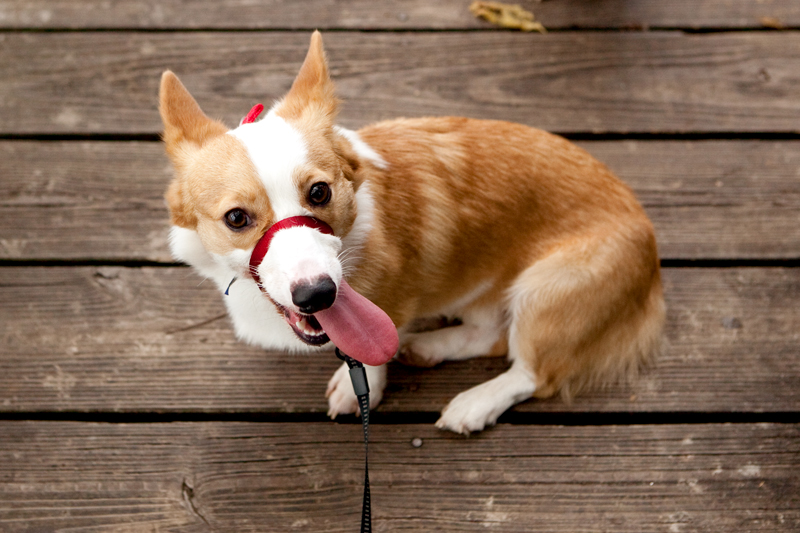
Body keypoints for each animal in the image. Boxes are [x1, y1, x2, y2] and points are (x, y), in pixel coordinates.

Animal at [159, 31, 664, 434]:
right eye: (236, 219)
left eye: (320, 191)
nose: (318, 295)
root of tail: (651, 244)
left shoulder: (391, 305)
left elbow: (372, 354)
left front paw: (358, 386)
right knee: (492, 334)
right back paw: (427, 347)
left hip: (546, 289)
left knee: (532, 372)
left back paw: (473, 403)